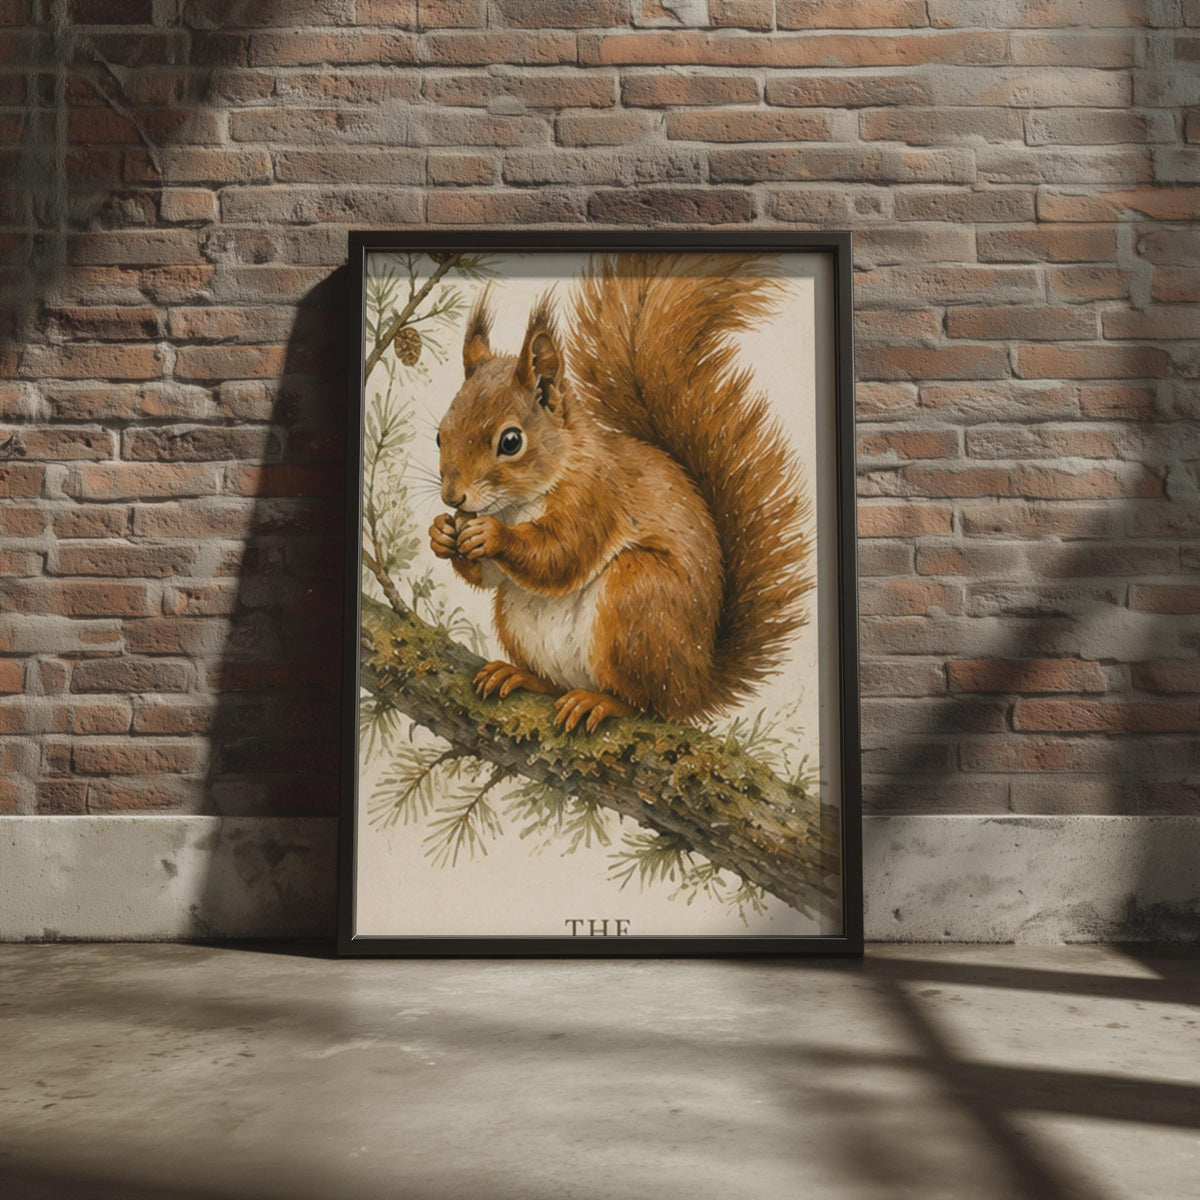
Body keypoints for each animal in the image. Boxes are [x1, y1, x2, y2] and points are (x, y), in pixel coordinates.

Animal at [428, 252, 814, 734]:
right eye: (440, 435)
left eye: (511, 441)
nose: (453, 497)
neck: (519, 504)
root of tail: (696, 682)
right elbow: (492, 577)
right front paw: (441, 534)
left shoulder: (597, 498)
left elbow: (560, 554)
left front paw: (490, 536)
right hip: (519, 620)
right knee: (554, 681)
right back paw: (519, 675)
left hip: (637, 600)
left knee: (645, 702)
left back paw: (598, 702)